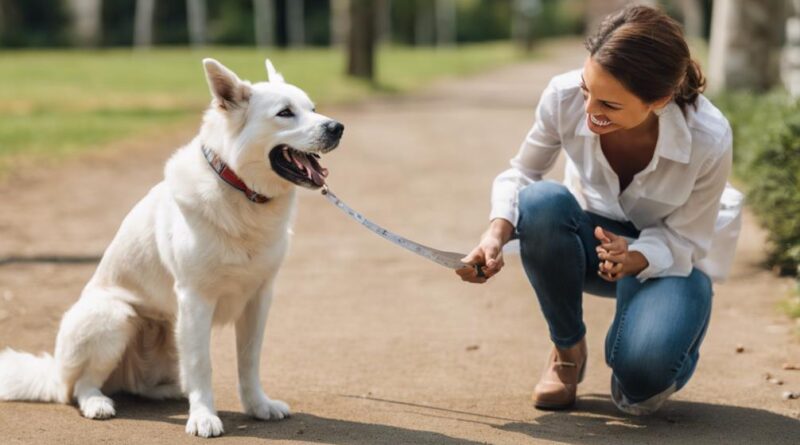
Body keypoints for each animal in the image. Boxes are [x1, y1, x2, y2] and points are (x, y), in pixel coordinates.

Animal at [0, 57, 340, 436]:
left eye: (313, 109)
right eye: (285, 113)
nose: (337, 127)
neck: (240, 191)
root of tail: (54, 373)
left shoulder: (259, 298)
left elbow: (249, 361)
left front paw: (258, 406)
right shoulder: (195, 299)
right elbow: (203, 364)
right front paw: (204, 417)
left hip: (170, 334)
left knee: (148, 384)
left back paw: (173, 393)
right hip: (115, 316)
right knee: (79, 387)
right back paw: (98, 403)